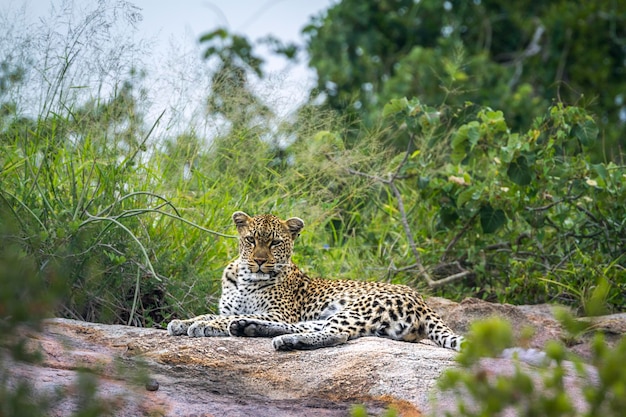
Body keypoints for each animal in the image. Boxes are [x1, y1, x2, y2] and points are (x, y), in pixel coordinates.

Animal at [167, 211, 464, 352]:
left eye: (275, 243)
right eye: (251, 240)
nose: (260, 261)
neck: (245, 277)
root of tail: (423, 301)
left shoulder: (277, 312)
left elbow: (222, 318)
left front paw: (203, 326)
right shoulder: (244, 308)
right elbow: (214, 314)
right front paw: (184, 322)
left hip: (358, 309)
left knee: (337, 334)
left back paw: (283, 341)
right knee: (306, 327)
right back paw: (250, 328)